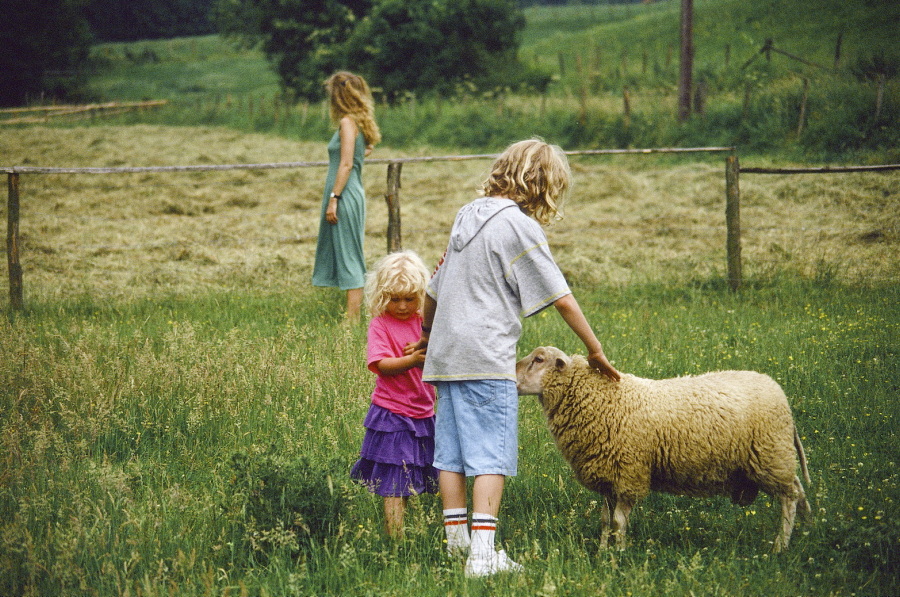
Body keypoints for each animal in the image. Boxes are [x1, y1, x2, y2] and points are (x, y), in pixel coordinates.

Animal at [516, 346, 811, 552]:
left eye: (539, 359)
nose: (512, 375)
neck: (602, 399)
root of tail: (778, 391)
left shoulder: (629, 474)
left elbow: (618, 522)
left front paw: (618, 556)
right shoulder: (609, 476)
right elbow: (604, 520)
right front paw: (601, 552)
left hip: (770, 455)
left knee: (789, 497)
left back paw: (780, 545)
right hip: (773, 458)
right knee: (798, 489)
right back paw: (807, 526)